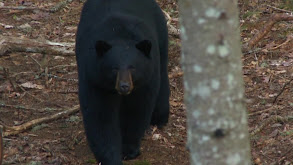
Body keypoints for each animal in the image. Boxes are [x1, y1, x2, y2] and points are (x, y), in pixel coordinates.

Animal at [74, 0, 169, 164]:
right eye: (114, 68)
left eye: (133, 67)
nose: (124, 86)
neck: (120, 36)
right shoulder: (95, 79)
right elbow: (100, 116)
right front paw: (110, 157)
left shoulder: (144, 82)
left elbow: (137, 110)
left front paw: (129, 150)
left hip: (161, 36)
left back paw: (160, 117)